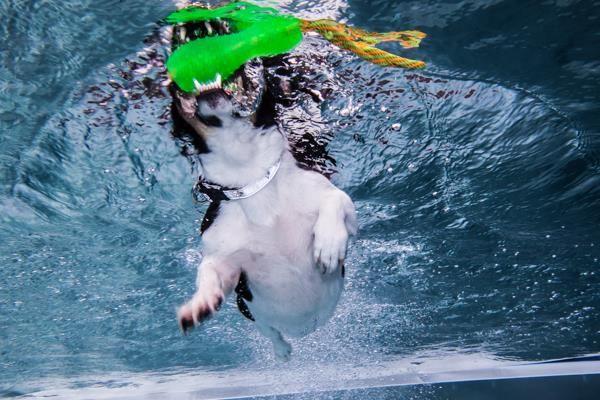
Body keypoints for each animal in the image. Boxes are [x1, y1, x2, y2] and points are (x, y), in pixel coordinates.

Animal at [169, 10, 356, 360]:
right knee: (268, 330)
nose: (198, 26)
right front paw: (200, 304)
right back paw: (282, 349)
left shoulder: (344, 208)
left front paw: (328, 244)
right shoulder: (227, 261)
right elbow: (208, 273)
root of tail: (308, 329)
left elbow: (335, 201)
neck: (253, 178)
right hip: (248, 308)